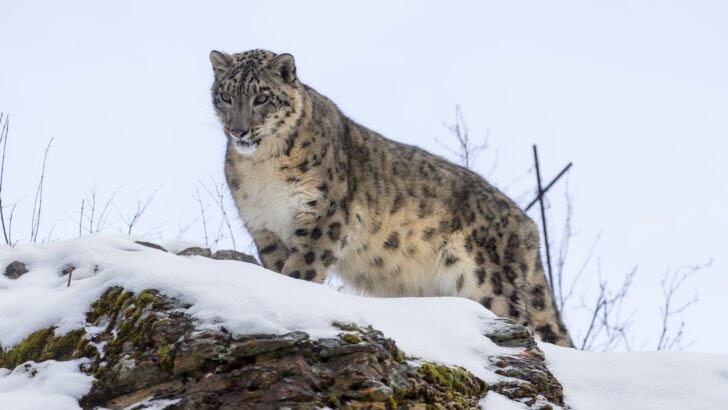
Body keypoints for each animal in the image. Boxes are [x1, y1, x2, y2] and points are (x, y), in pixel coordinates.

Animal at [209, 48, 573, 346]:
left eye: (261, 98)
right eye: (225, 96)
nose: (238, 131)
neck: (262, 167)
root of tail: (528, 226)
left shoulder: (322, 218)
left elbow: (301, 270)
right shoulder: (264, 228)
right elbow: (277, 268)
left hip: (489, 284)